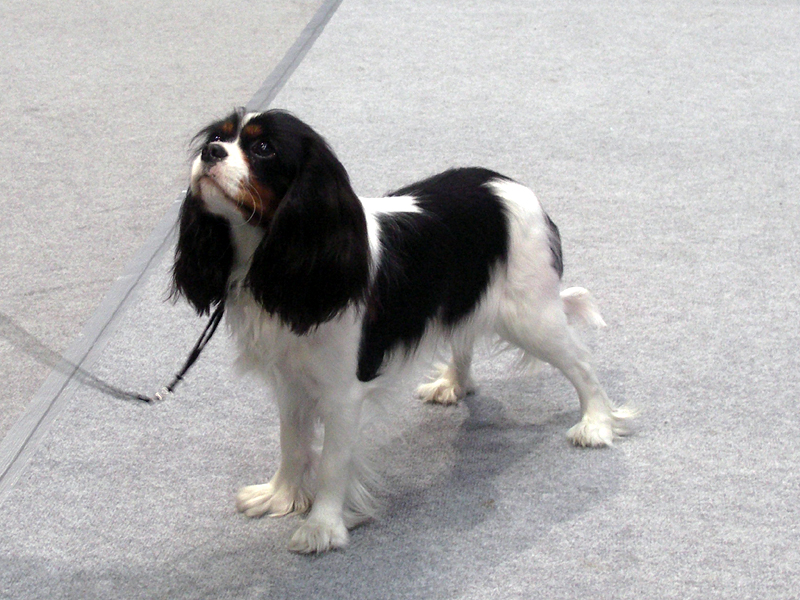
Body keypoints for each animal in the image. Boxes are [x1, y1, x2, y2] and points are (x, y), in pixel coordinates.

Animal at [171, 108, 635, 553]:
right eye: (219, 136)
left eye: (263, 148)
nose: (211, 152)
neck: (269, 252)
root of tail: (511, 186)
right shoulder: (291, 380)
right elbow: (292, 442)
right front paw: (281, 496)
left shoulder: (343, 393)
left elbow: (332, 463)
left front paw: (323, 528)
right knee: (464, 338)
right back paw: (453, 384)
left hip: (530, 314)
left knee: (581, 364)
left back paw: (596, 424)